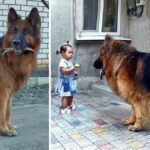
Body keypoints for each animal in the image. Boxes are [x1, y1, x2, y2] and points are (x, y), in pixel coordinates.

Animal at [0, 6, 40, 136]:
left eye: (26, 32)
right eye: (14, 31)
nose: (15, 43)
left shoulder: (9, 94)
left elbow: (8, 111)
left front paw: (9, 126)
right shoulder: (3, 92)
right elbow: (2, 112)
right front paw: (5, 130)